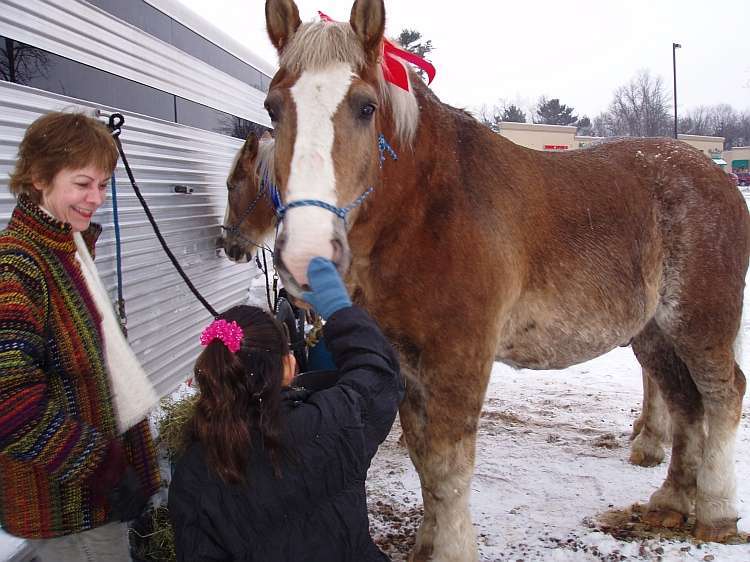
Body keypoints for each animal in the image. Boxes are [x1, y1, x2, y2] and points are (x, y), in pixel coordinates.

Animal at [228, 1, 750, 556]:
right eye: (273, 108)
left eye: (365, 107)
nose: (307, 254)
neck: (430, 207)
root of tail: (721, 179)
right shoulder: (407, 363)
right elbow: (425, 463)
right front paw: (426, 546)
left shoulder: (462, 356)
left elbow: (448, 465)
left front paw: (450, 551)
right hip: (652, 332)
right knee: (685, 402)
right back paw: (671, 503)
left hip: (699, 322)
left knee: (723, 393)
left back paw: (716, 512)